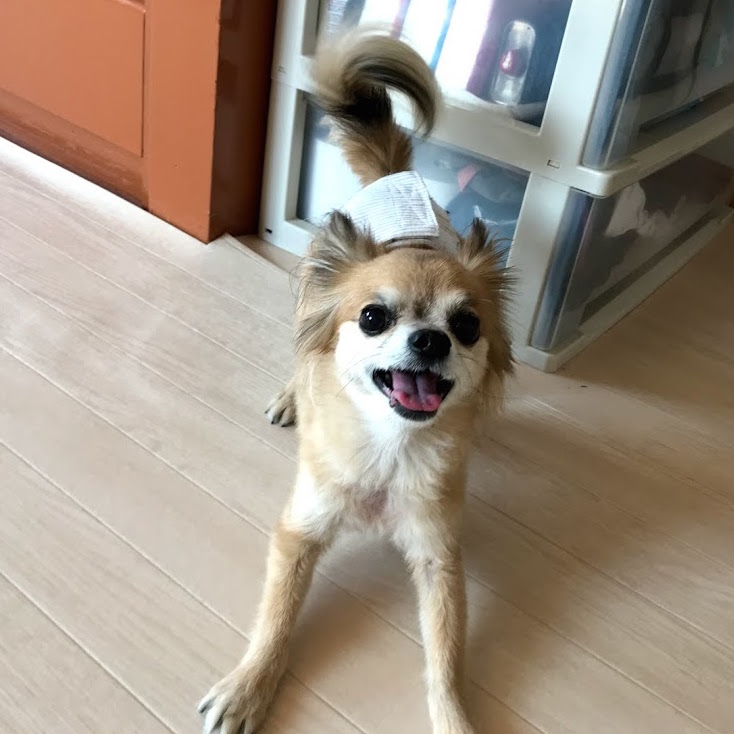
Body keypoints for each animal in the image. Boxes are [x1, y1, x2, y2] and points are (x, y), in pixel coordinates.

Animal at [199, 28, 513, 734]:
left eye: (467, 326)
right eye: (373, 317)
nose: (430, 340)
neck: (390, 446)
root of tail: (396, 176)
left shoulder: (438, 556)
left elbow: (445, 658)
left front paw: (454, 718)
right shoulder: (300, 533)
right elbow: (275, 621)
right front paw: (249, 688)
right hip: (307, 306)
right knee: (301, 355)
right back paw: (291, 398)